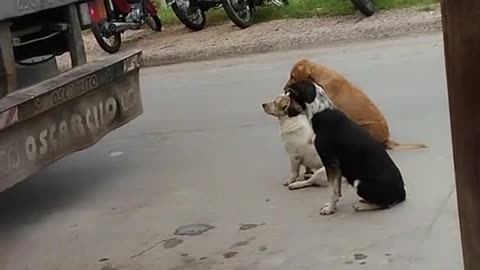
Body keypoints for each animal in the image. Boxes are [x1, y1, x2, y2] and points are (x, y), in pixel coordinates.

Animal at [284, 79, 404, 214]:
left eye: (290, 97)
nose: (286, 112)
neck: (321, 112)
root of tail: (402, 193)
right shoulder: (338, 166)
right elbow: (337, 189)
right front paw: (334, 205)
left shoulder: (329, 162)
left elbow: (332, 190)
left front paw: (330, 209)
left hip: (359, 184)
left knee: (386, 204)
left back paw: (362, 206)